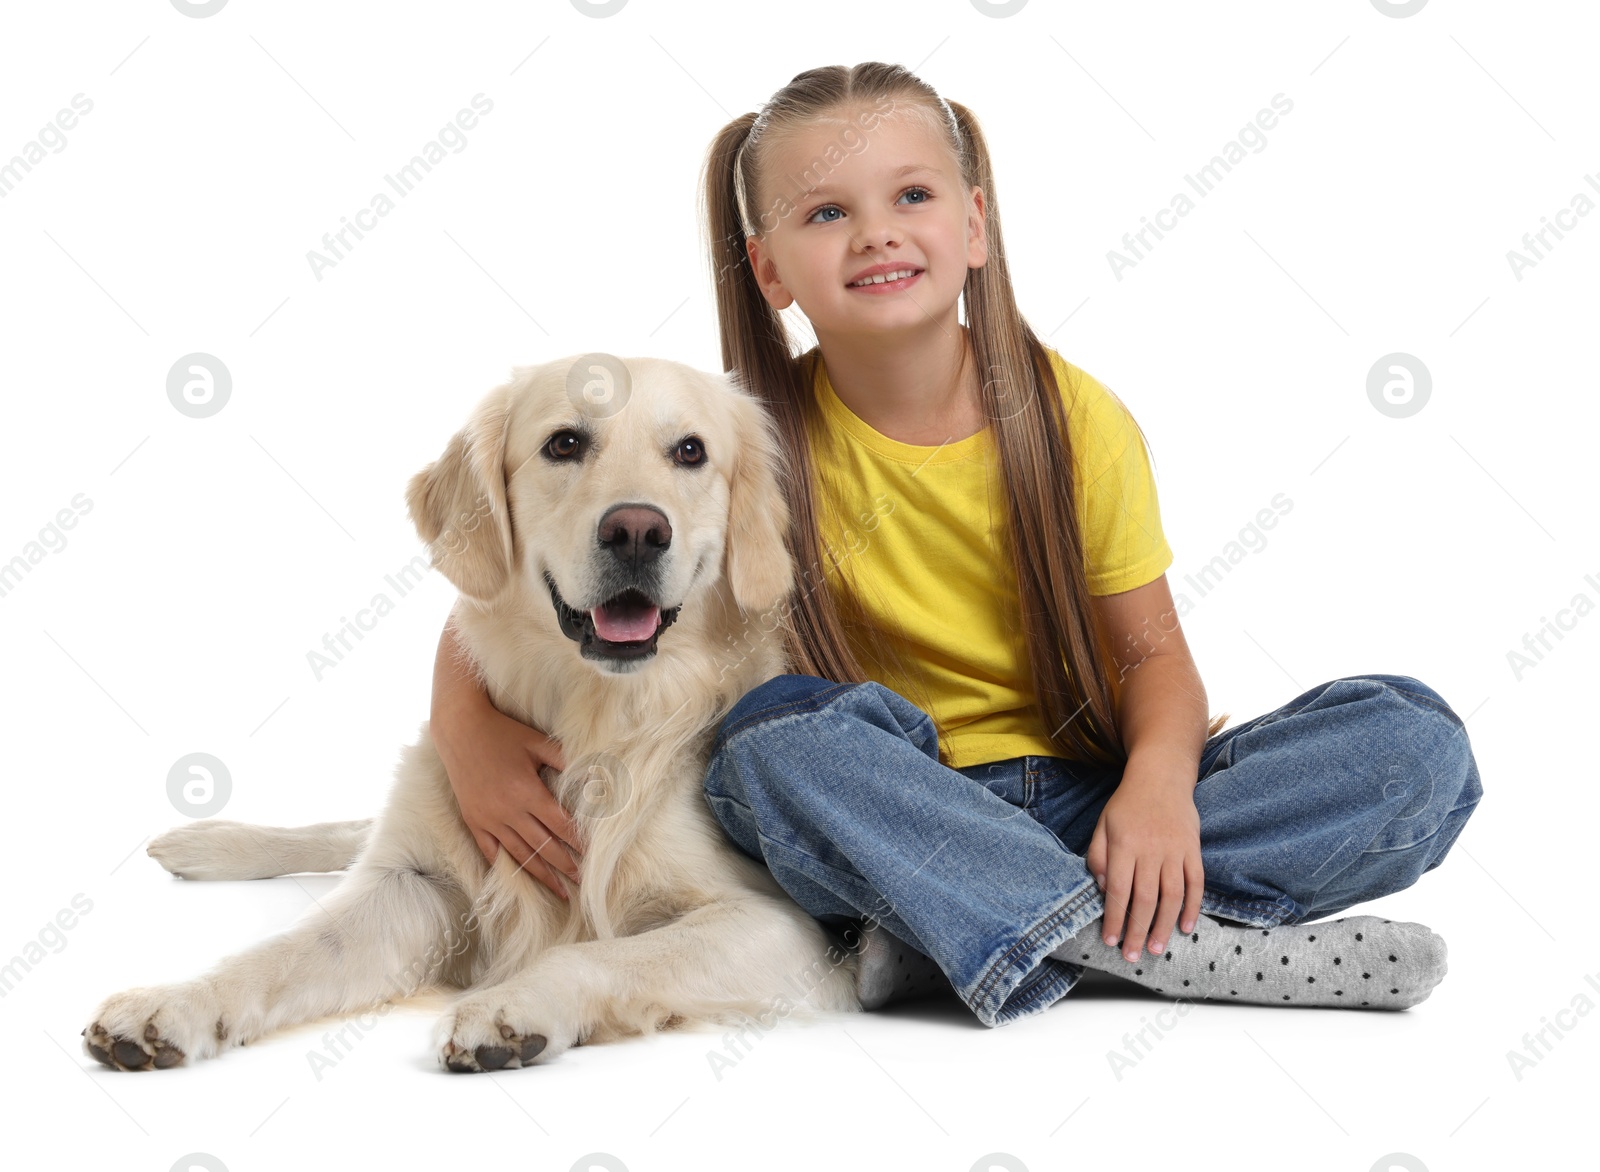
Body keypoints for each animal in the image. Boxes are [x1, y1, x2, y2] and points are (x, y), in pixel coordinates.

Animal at [81, 355, 864, 1069]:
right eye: (564, 443)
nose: (639, 531)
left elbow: (607, 955)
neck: (594, 716)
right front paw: (173, 1004)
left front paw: (514, 1005)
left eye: (691, 452)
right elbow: (281, 953)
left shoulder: (790, 928)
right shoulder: (412, 884)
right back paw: (205, 844)